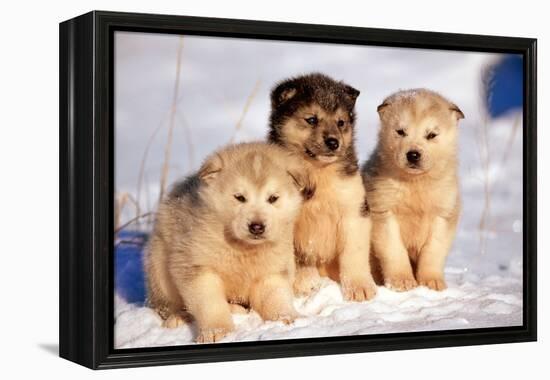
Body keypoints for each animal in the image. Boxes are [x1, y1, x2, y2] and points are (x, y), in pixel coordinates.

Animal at [268, 72, 380, 302]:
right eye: (311, 119)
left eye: (341, 122)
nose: (333, 142)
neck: (317, 173)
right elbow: (299, 255)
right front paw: (306, 283)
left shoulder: (354, 209)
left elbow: (354, 252)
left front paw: (360, 288)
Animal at [364, 88, 468, 290]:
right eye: (400, 131)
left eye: (431, 134)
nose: (413, 155)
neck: (415, 184)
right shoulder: (383, 210)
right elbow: (394, 250)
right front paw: (402, 282)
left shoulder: (443, 213)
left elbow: (433, 251)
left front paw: (432, 282)